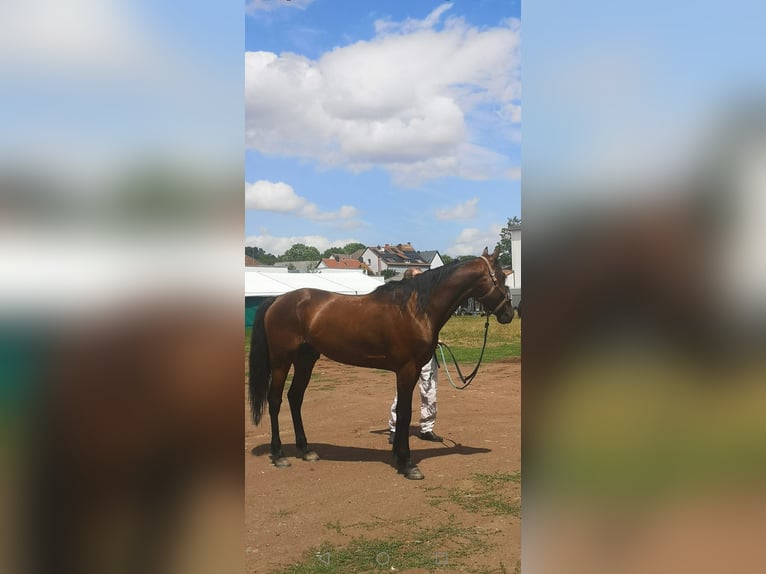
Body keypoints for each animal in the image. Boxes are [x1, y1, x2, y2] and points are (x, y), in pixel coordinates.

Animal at [250, 246, 516, 482]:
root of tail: (277, 300)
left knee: (295, 398)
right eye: (501, 277)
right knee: (275, 400)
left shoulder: (411, 371)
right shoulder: (407, 370)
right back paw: (279, 454)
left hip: (306, 360)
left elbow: (403, 412)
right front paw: (407, 463)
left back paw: (306, 450)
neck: (416, 309)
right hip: (281, 361)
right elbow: (405, 413)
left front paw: (398, 457)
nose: (509, 314)